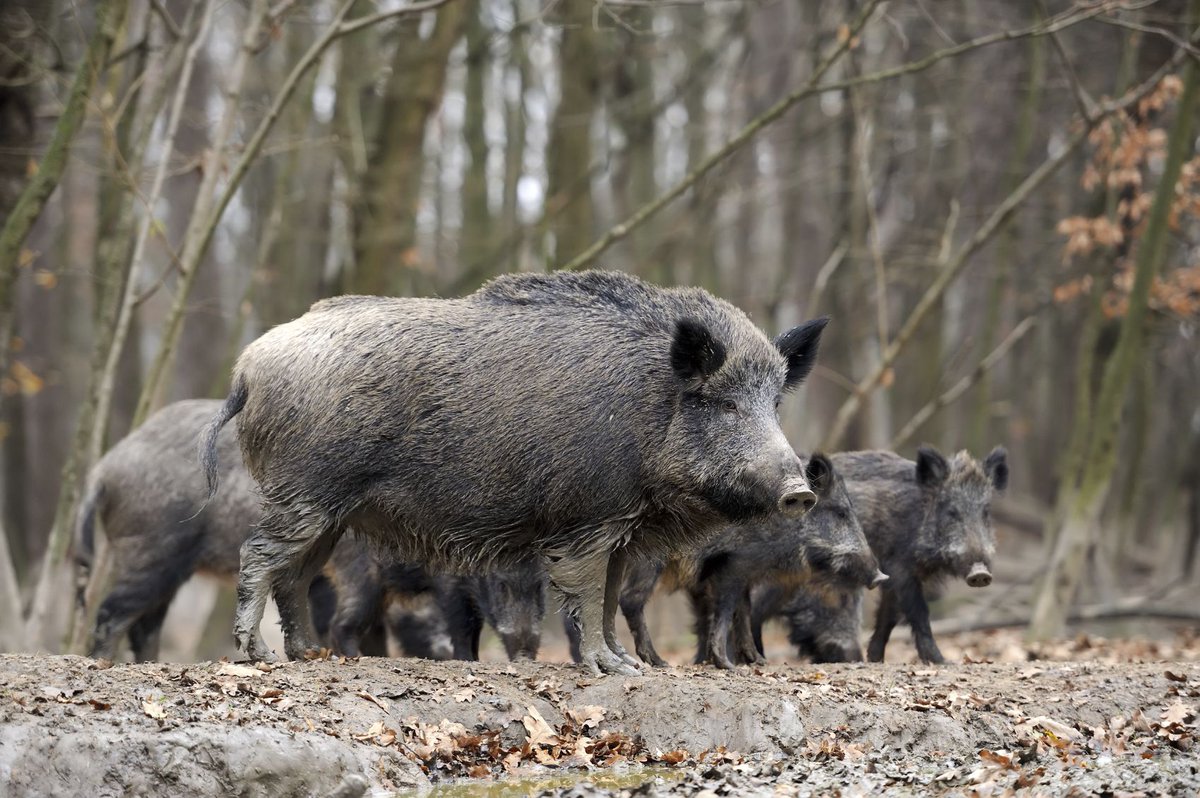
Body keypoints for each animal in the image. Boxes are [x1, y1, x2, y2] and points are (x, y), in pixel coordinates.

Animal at [201, 269, 828, 674]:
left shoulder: (622, 531)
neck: (651, 406)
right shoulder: (588, 518)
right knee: (258, 555)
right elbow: (585, 593)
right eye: (725, 403)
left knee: (296, 575)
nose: (800, 492)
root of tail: (247, 367)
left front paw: (628, 665)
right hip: (305, 491)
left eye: (774, 403)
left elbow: (607, 597)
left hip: (330, 513)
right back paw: (257, 657)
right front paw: (608, 669)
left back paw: (308, 656)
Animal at [831, 445, 1008, 664]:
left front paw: (875, 659)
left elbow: (888, 615)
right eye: (952, 512)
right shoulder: (900, 568)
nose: (980, 573)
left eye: (986, 512)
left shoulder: (891, 574)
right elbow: (919, 612)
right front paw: (942, 661)